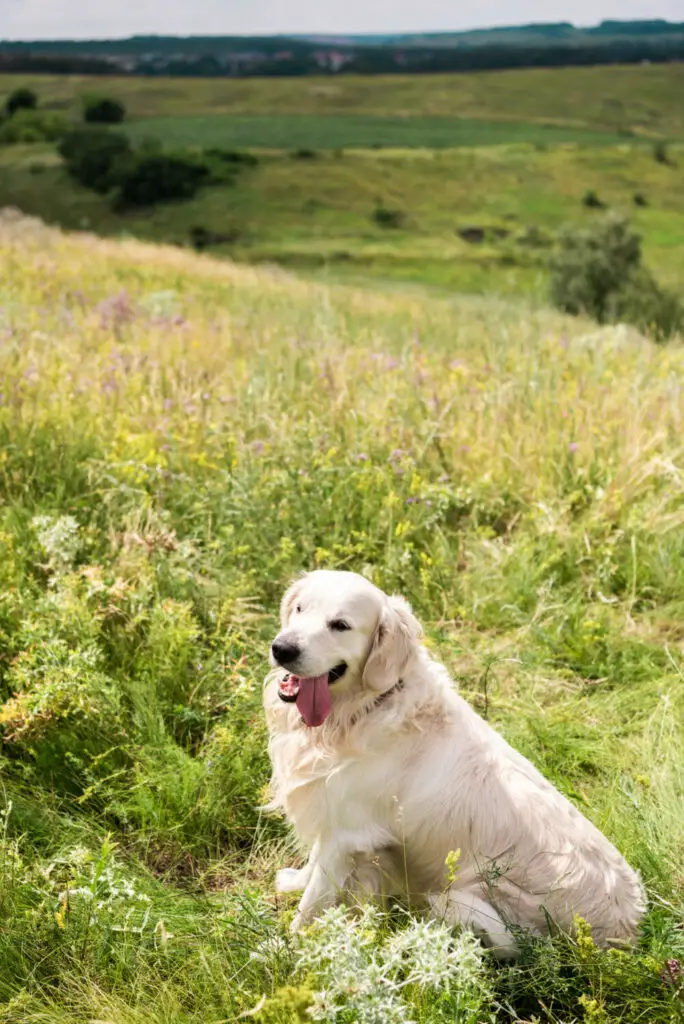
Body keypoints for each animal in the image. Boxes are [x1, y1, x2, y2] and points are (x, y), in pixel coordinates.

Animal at [264, 573, 647, 954]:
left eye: (340, 625)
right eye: (300, 609)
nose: (282, 648)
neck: (366, 708)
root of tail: (627, 933)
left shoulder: (347, 832)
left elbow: (312, 902)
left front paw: (288, 950)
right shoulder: (328, 810)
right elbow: (312, 867)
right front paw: (294, 881)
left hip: (471, 895)